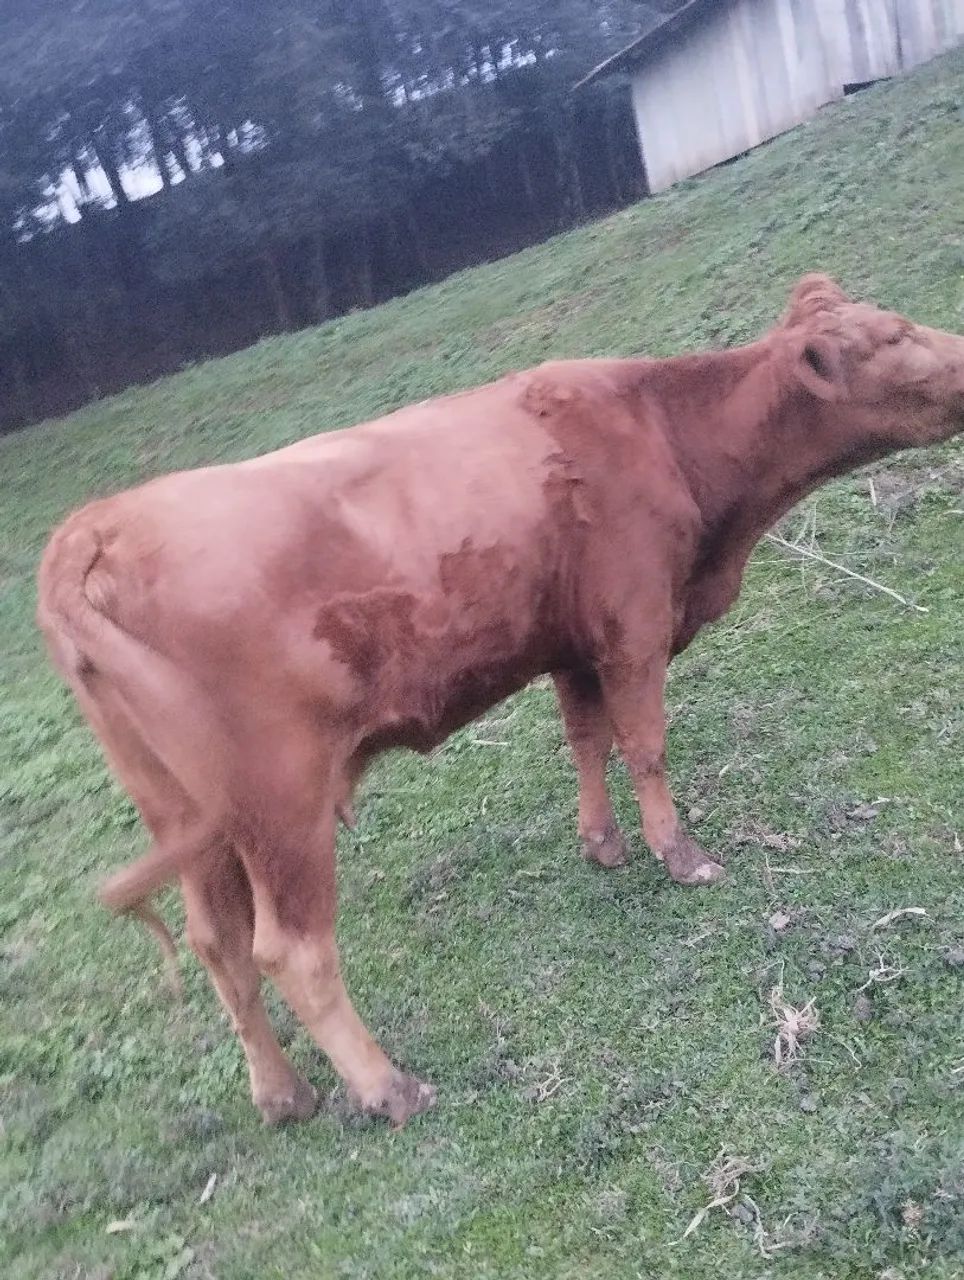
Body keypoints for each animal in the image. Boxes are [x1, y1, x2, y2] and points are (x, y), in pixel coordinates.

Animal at [36, 275, 964, 1127]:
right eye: (893, 336)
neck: (663, 431)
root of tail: (95, 527)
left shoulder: (573, 645)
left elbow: (588, 739)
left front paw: (602, 844)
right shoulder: (634, 627)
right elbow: (645, 743)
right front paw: (680, 855)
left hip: (182, 814)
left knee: (218, 944)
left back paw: (283, 1094)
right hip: (279, 801)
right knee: (290, 951)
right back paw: (389, 1089)